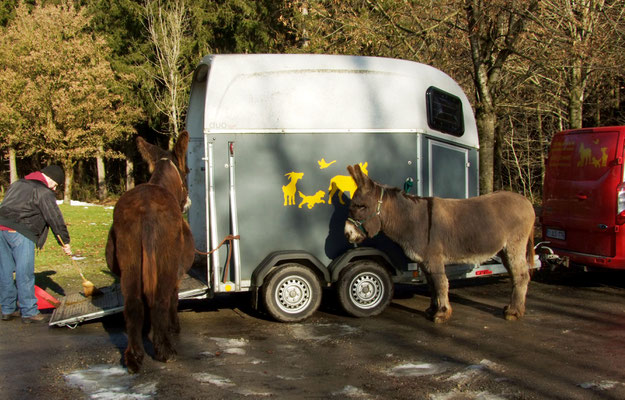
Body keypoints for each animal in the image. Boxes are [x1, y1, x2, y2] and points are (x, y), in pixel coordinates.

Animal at [105, 131, 194, 372]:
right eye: (187, 172)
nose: (188, 203)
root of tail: (145, 208)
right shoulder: (177, 273)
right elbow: (173, 299)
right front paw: (173, 327)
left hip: (130, 261)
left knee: (133, 305)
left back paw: (134, 356)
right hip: (166, 262)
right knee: (161, 300)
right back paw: (164, 349)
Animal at [344, 164, 532, 324]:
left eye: (361, 206)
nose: (347, 233)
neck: (413, 220)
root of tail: (527, 201)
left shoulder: (434, 258)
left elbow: (441, 283)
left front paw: (441, 313)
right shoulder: (424, 261)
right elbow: (432, 285)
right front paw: (431, 310)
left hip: (514, 245)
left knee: (522, 274)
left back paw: (513, 312)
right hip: (504, 250)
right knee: (516, 274)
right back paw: (514, 308)